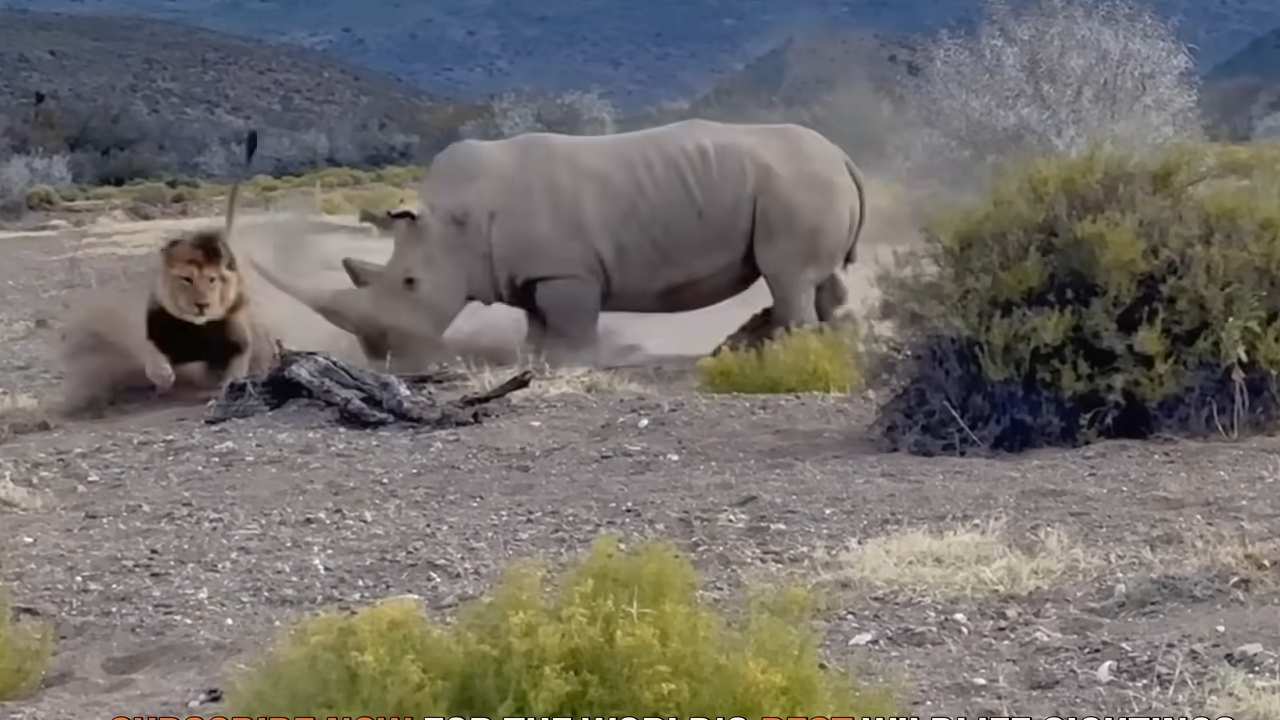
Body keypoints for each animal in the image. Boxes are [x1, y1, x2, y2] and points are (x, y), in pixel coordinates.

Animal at [249, 118, 870, 368]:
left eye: (409, 283)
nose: (385, 360)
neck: (456, 223)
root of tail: (843, 155)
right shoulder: (528, 275)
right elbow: (537, 326)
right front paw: (533, 361)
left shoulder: (566, 273)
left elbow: (571, 327)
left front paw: (577, 364)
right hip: (802, 181)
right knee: (825, 278)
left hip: (795, 183)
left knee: (789, 276)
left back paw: (789, 354)